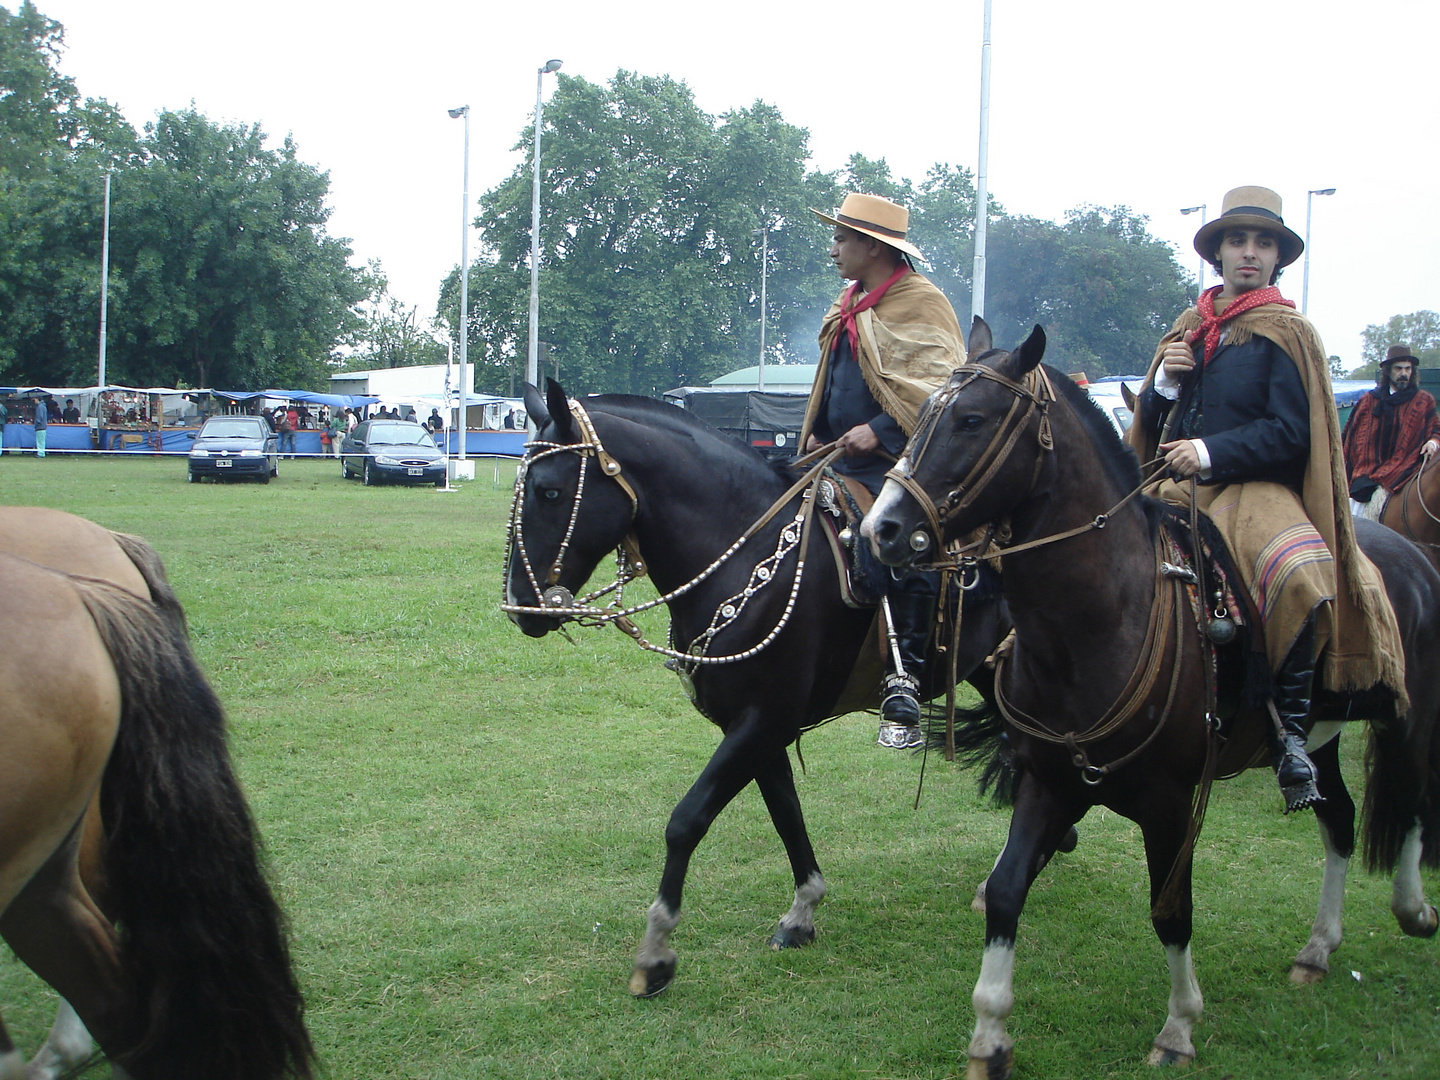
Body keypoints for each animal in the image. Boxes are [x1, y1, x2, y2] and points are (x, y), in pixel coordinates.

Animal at [858, 321, 1434, 1080]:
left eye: (972, 420)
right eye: (921, 413)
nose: (882, 529)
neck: (1102, 623)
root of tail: (1414, 555)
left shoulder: (1169, 803)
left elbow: (1171, 910)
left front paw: (1180, 1025)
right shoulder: (1049, 782)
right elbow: (1007, 891)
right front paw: (989, 1036)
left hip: (1412, 717)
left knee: (1415, 801)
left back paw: (1412, 907)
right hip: (1324, 737)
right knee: (1339, 820)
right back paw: (1318, 948)